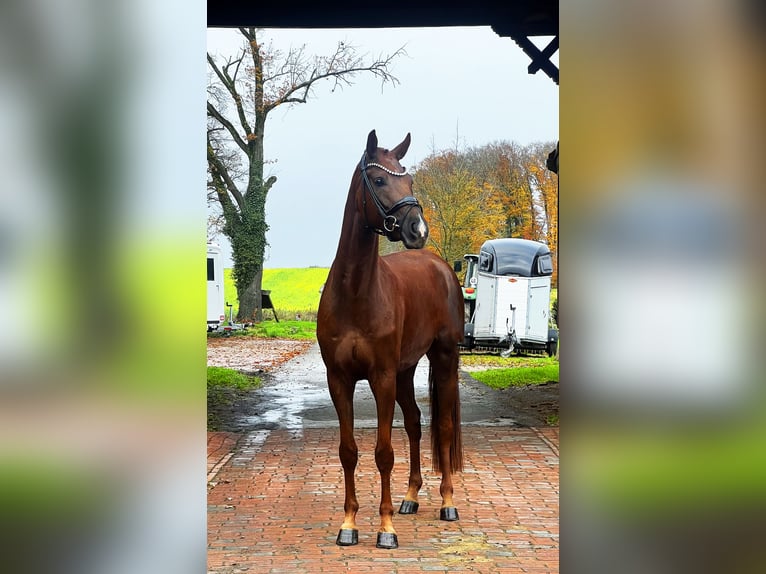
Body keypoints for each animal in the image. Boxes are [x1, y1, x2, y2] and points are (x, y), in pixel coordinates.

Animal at [316, 128, 464, 552]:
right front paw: (349, 524)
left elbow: (383, 452)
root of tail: (439, 265)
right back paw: (410, 498)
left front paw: (385, 529)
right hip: (405, 371)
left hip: (443, 358)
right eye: (380, 180)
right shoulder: (340, 379)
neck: (356, 293)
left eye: (409, 180)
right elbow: (348, 451)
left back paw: (447, 503)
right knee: (414, 422)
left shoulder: (380, 377)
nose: (418, 230)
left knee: (443, 426)